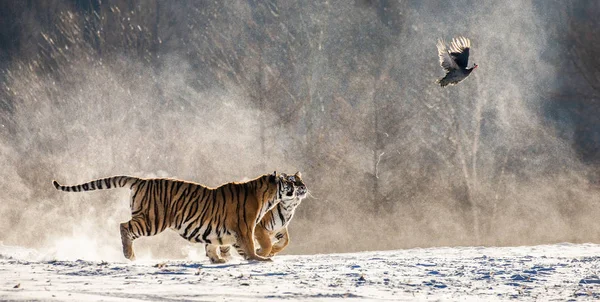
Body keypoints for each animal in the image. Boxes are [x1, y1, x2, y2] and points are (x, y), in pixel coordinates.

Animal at [52, 172, 296, 262]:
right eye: (289, 181)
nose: (299, 187)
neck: (266, 196)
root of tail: (142, 180)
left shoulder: (219, 232)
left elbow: (214, 245)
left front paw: (218, 260)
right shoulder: (244, 227)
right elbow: (251, 245)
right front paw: (259, 258)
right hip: (152, 221)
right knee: (124, 226)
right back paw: (129, 255)